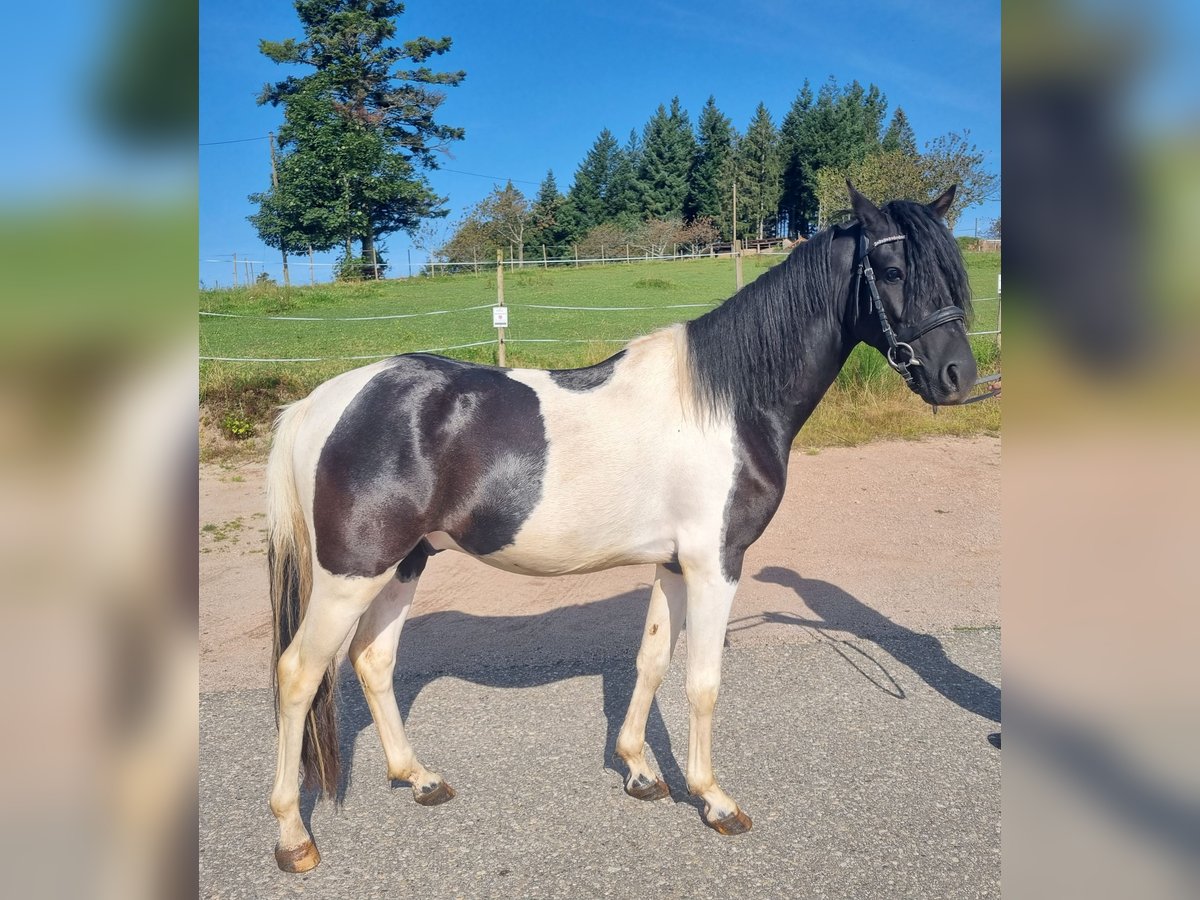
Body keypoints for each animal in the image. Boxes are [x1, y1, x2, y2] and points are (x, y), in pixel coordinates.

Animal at [262, 184, 974, 873]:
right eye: (891, 269)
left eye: (954, 270)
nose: (959, 377)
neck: (728, 402)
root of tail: (319, 403)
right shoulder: (716, 563)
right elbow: (702, 681)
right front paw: (714, 800)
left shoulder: (674, 563)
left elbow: (652, 660)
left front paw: (638, 770)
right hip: (351, 572)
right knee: (298, 672)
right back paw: (294, 837)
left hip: (403, 562)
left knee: (372, 659)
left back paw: (418, 777)